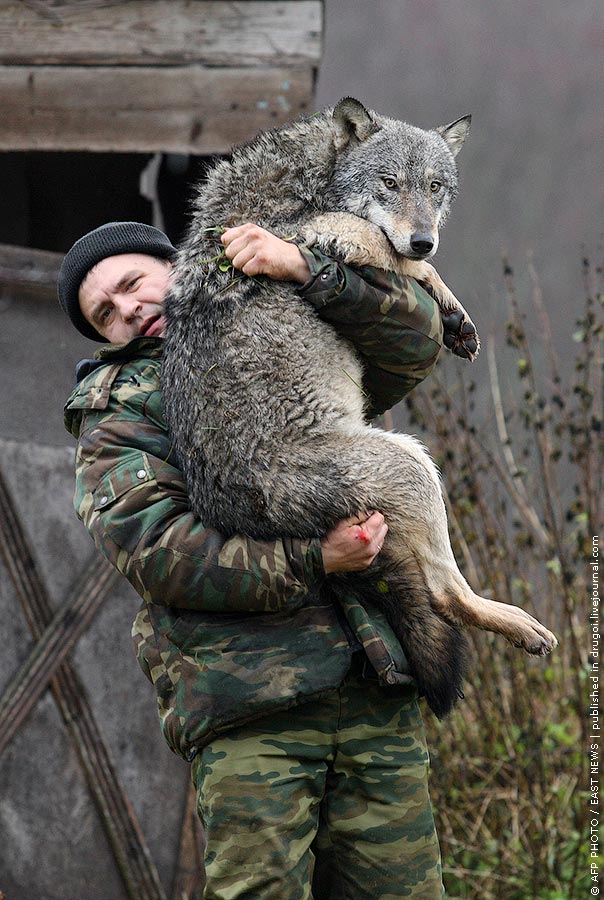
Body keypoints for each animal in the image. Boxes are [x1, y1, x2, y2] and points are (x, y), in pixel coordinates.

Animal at [162, 98, 556, 716]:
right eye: (389, 183)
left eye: (434, 186)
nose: (423, 238)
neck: (310, 179)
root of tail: (235, 515)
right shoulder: (315, 232)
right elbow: (394, 254)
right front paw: (441, 295)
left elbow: (409, 265)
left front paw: (453, 315)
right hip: (413, 464)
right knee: (445, 595)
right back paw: (522, 626)